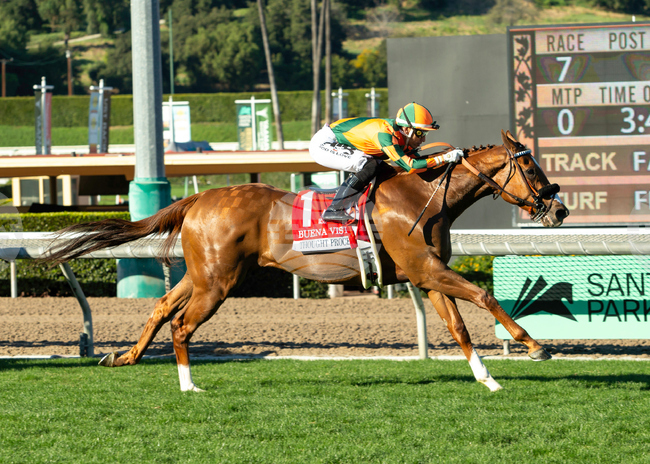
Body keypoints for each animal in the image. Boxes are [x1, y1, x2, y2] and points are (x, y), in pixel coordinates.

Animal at [43, 130, 569, 392]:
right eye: (528, 164)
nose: (559, 208)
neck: (424, 196)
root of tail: (197, 199)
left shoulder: (425, 275)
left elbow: (458, 326)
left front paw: (488, 380)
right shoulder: (426, 269)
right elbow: (483, 295)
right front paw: (534, 345)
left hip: (203, 274)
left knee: (160, 309)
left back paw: (124, 356)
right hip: (218, 281)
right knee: (181, 325)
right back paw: (189, 386)